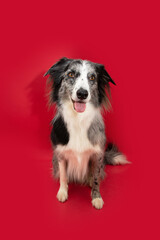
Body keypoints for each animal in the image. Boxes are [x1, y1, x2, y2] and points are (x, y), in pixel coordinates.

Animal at [44, 57, 129, 209]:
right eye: (71, 74)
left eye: (92, 77)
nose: (82, 94)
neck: (78, 119)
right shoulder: (60, 153)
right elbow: (63, 175)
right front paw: (62, 192)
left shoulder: (97, 154)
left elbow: (95, 177)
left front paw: (96, 197)